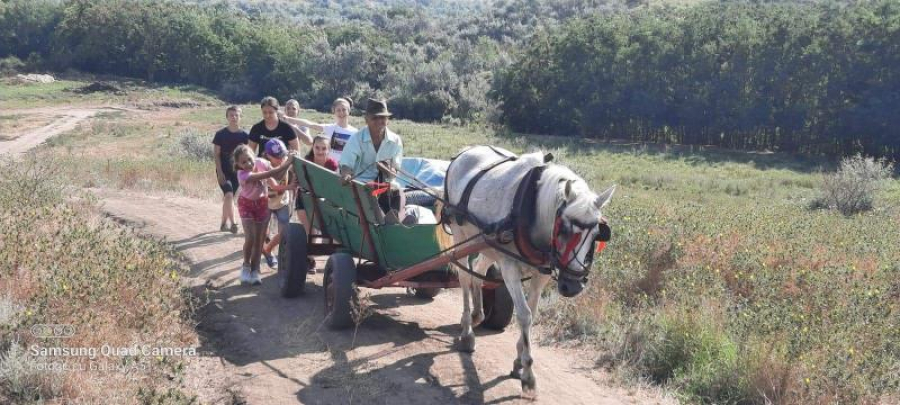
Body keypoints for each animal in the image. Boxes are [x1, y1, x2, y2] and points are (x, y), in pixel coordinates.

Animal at [442, 144, 612, 396]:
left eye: (596, 234)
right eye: (564, 230)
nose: (572, 286)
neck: (532, 210)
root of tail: (465, 151)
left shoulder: (541, 274)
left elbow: (532, 312)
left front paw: (518, 362)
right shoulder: (509, 267)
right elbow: (524, 315)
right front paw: (528, 373)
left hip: (485, 242)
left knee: (479, 272)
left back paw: (477, 314)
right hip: (460, 233)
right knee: (464, 277)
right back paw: (467, 332)